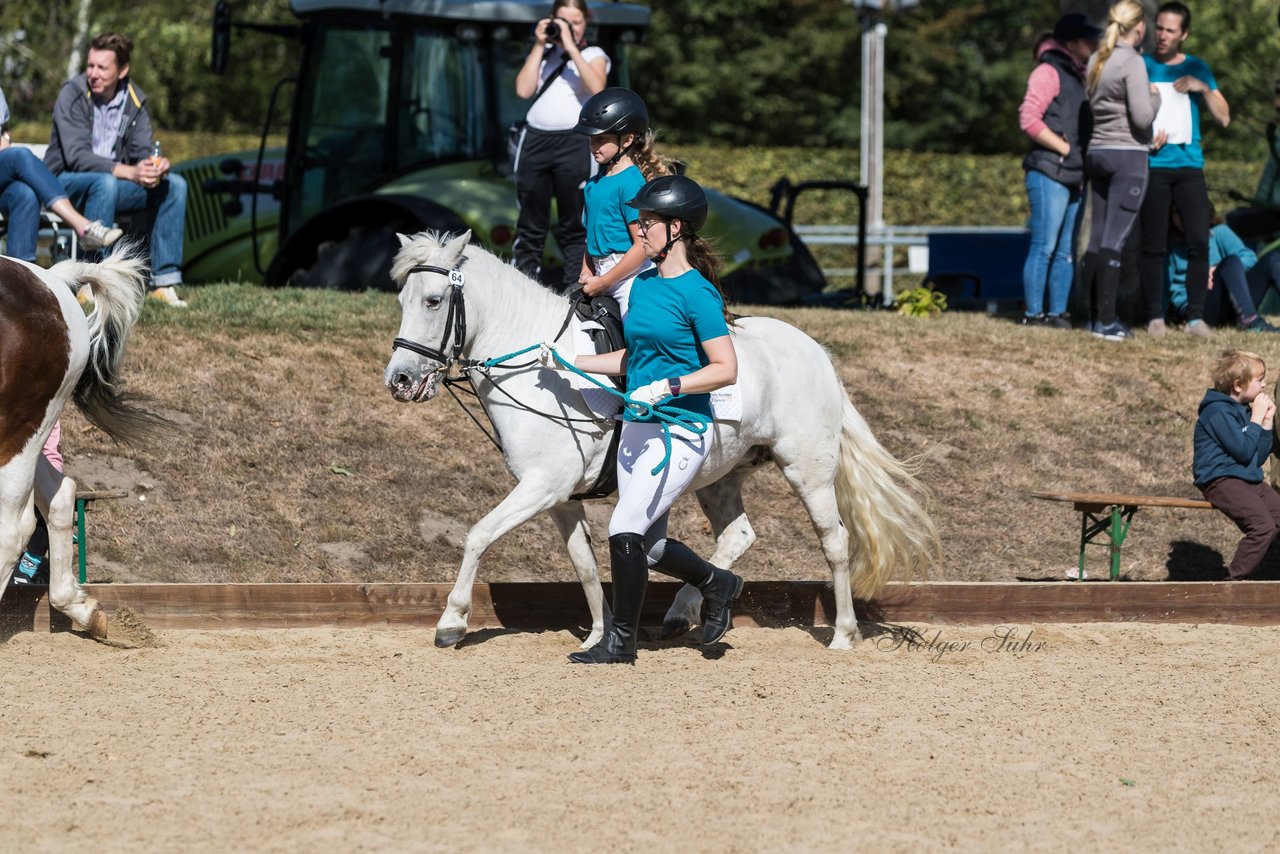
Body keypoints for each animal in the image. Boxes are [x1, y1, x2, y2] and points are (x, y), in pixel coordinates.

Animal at [381, 230, 942, 650]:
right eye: (402, 300)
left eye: (433, 301)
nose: (400, 381)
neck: (538, 369)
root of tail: (816, 351)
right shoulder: (558, 497)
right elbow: (585, 565)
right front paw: (599, 635)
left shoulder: (542, 486)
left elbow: (477, 535)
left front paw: (451, 621)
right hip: (719, 477)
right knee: (735, 536)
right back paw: (689, 610)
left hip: (808, 470)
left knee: (835, 541)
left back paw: (843, 633)